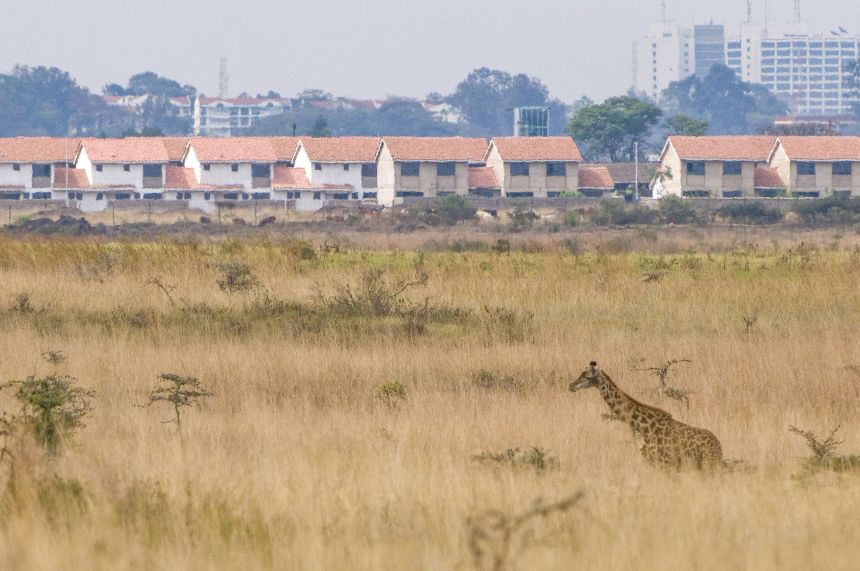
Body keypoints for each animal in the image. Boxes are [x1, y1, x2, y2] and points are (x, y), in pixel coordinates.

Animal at [569, 361, 723, 470]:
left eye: (588, 377)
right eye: (580, 373)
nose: (571, 386)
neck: (643, 425)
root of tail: (718, 446)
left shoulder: (664, 463)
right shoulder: (653, 462)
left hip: (709, 464)